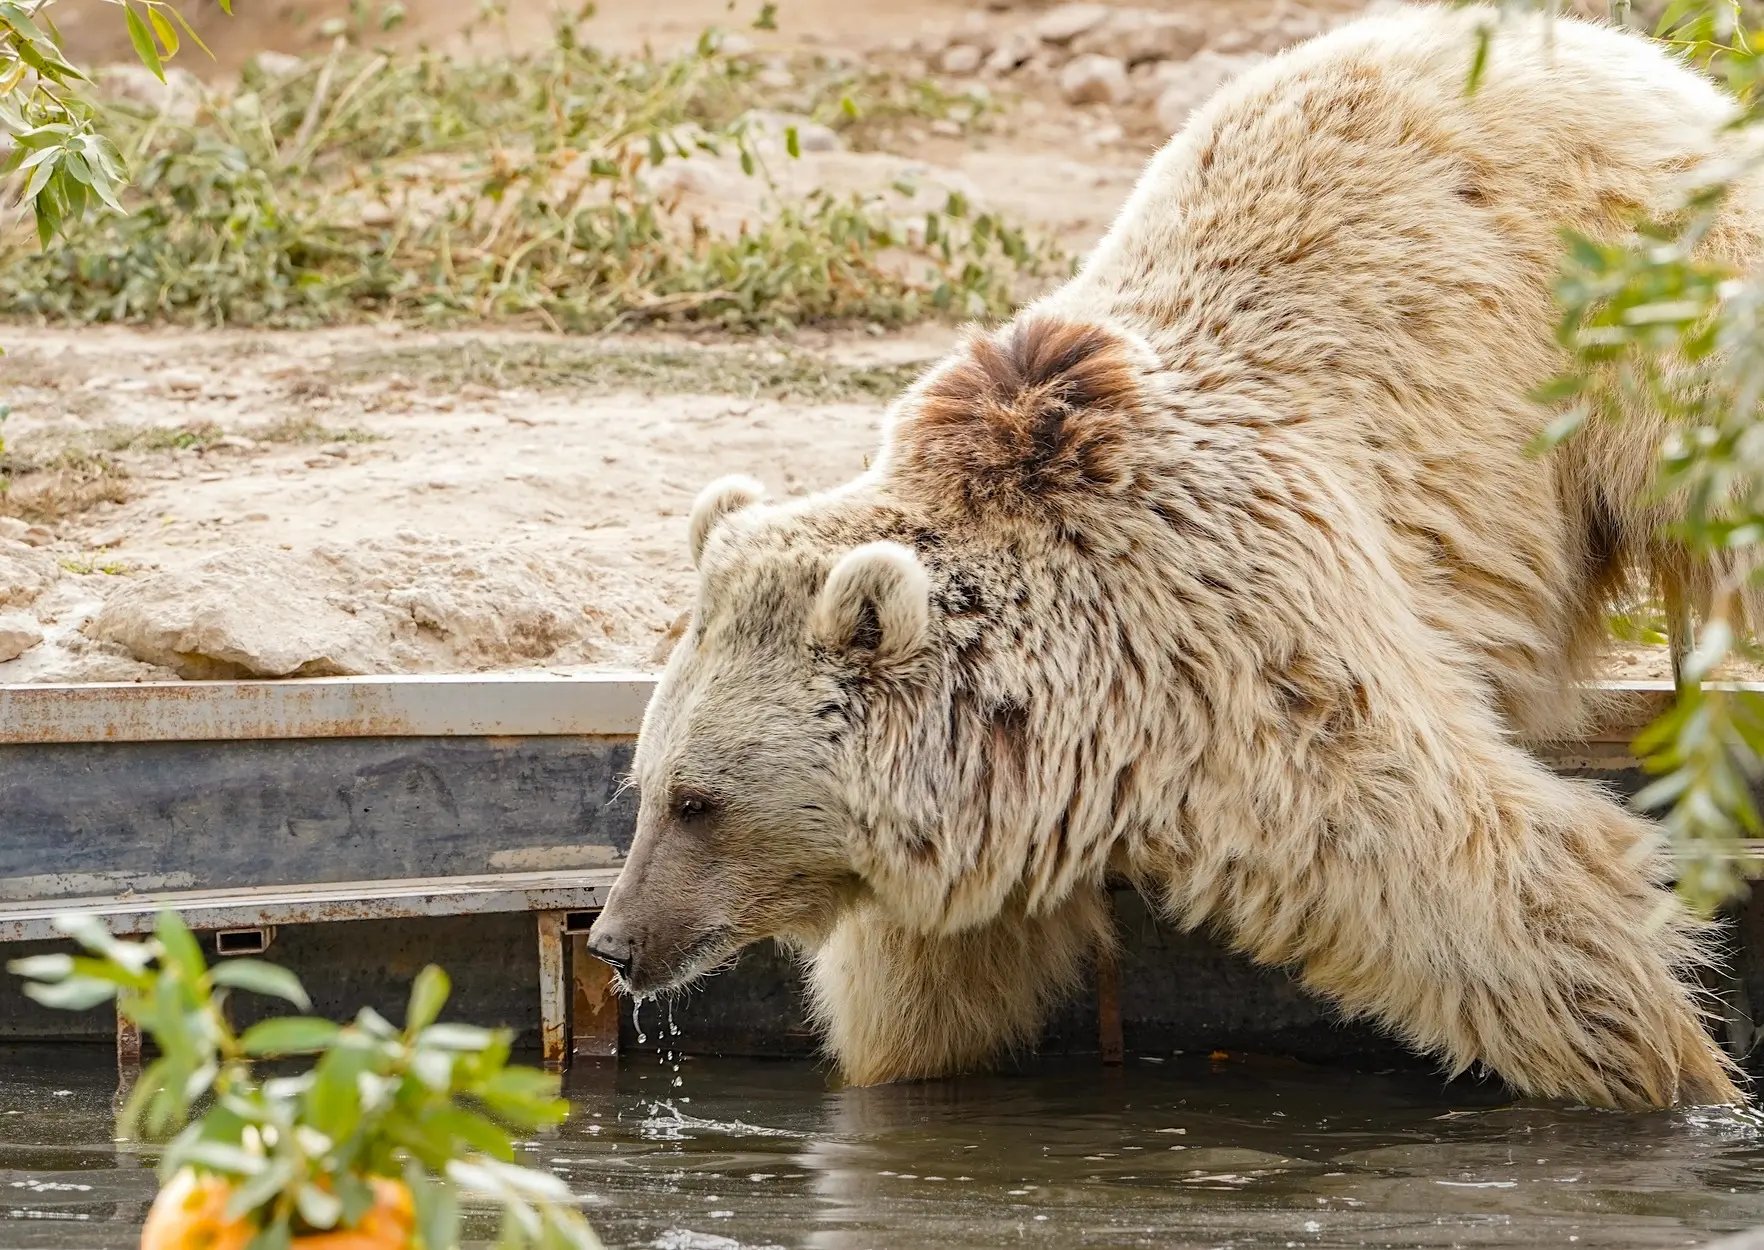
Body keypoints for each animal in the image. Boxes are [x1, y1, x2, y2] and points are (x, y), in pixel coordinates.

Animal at [587, 2, 1761, 1109]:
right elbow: (926, 997)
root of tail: (1620, 48)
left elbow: (1477, 871)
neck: (1088, 709)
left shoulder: (1258, 647)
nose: (616, 939)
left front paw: (1677, 1072)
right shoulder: (996, 822)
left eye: (699, 801)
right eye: (643, 783)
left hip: (1645, 303)